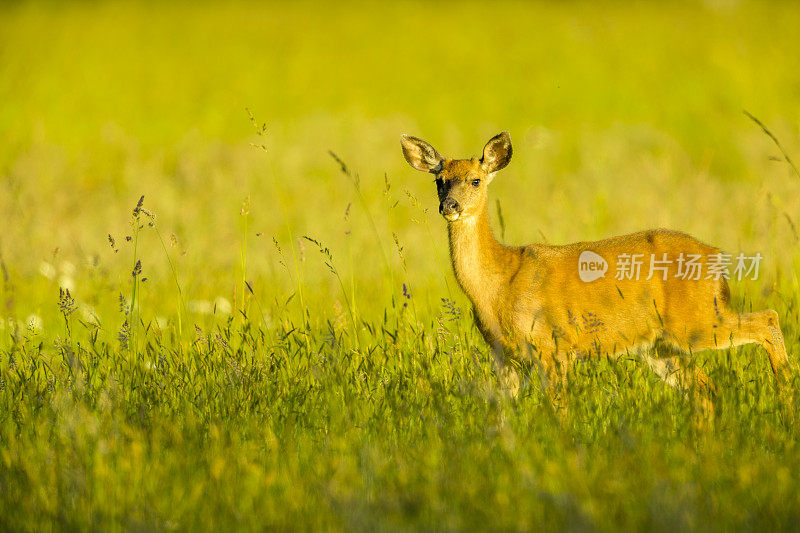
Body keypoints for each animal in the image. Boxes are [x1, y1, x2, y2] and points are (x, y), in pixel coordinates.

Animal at [404, 131, 792, 396]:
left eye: (475, 180)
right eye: (439, 181)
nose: (449, 206)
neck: (499, 282)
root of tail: (717, 258)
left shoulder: (552, 347)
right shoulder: (504, 357)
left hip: (694, 321)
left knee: (768, 320)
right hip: (661, 346)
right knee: (705, 386)